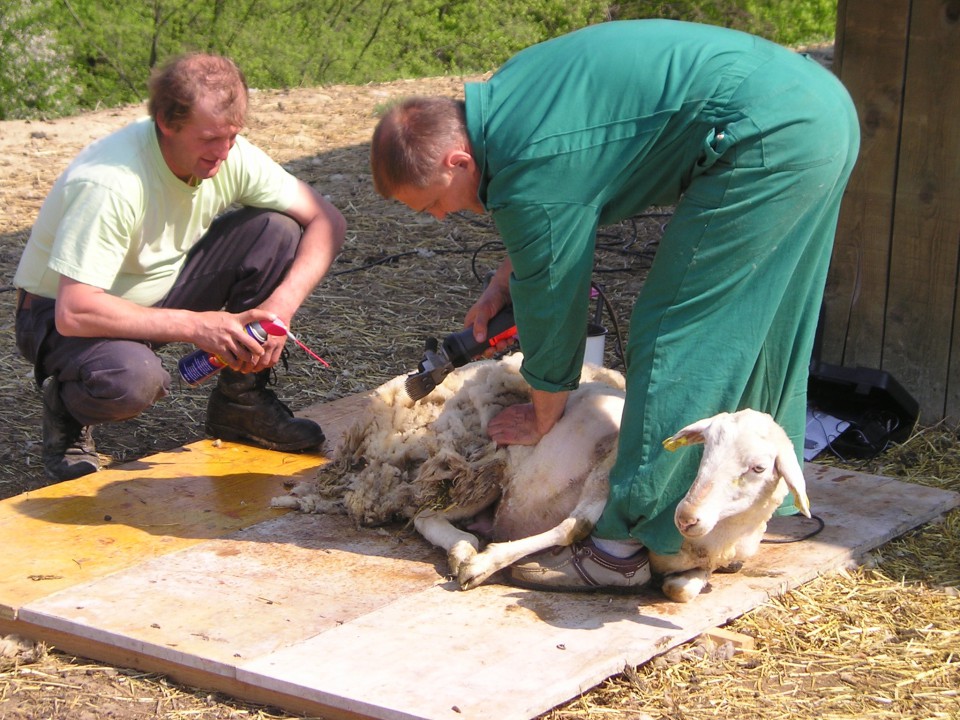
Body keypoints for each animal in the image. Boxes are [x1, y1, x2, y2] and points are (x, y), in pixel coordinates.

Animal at [272, 354, 808, 600]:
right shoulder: (606, 470)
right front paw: (488, 564)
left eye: (758, 467)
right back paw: (465, 549)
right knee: (426, 516)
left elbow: (682, 588)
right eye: (704, 448)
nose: (688, 516)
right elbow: (577, 526)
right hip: (479, 471)